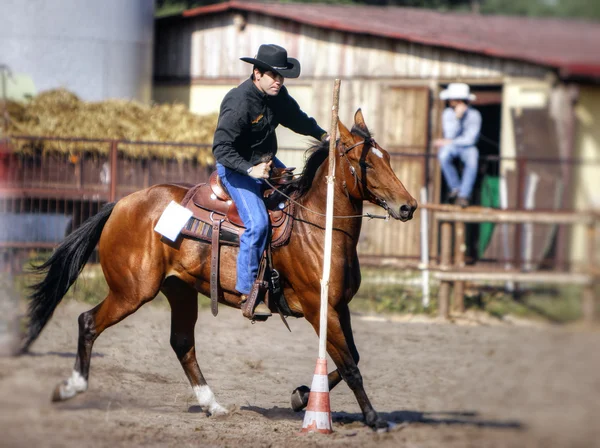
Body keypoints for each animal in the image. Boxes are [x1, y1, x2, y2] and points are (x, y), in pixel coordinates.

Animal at [22, 109, 418, 430]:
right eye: (367, 164)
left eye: (387, 158)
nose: (408, 206)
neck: (315, 227)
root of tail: (121, 203)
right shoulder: (319, 308)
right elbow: (350, 366)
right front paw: (373, 419)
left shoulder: (339, 308)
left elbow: (351, 358)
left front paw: (301, 396)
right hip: (131, 292)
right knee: (88, 322)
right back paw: (72, 387)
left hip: (179, 290)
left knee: (182, 343)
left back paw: (212, 405)